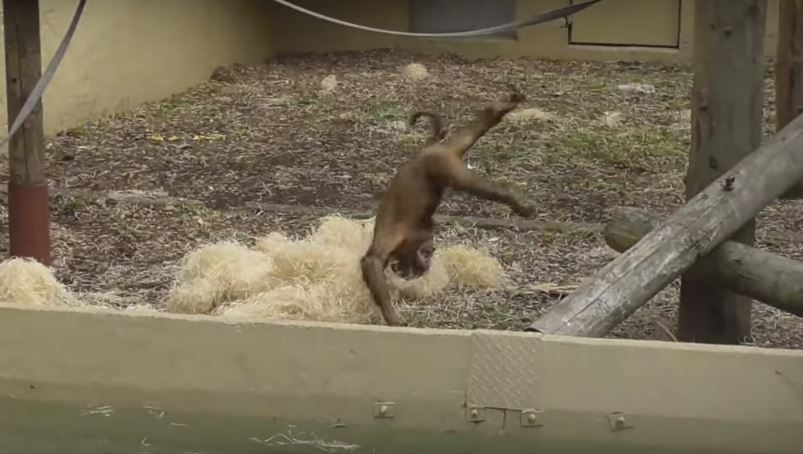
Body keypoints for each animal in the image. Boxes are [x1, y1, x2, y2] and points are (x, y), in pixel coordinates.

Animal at [362, 93, 532, 326]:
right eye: (425, 255)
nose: (427, 256)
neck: (414, 230)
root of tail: (427, 150)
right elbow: (375, 264)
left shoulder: (394, 235)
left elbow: (371, 261)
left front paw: (391, 316)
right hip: (442, 158)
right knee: (466, 138)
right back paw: (497, 110)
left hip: (439, 162)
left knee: (474, 184)